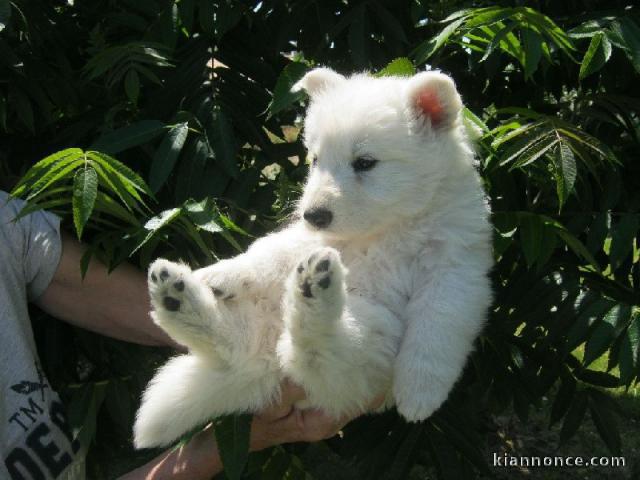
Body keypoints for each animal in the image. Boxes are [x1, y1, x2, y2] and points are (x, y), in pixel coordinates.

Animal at [134, 68, 496, 450]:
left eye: (365, 163)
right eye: (317, 159)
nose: (313, 215)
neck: (384, 230)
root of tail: (267, 365)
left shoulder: (453, 269)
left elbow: (437, 326)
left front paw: (418, 393)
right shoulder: (305, 240)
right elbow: (267, 254)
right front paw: (222, 273)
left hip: (375, 339)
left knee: (316, 349)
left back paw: (311, 291)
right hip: (275, 315)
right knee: (237, 341)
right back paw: (179, 296)